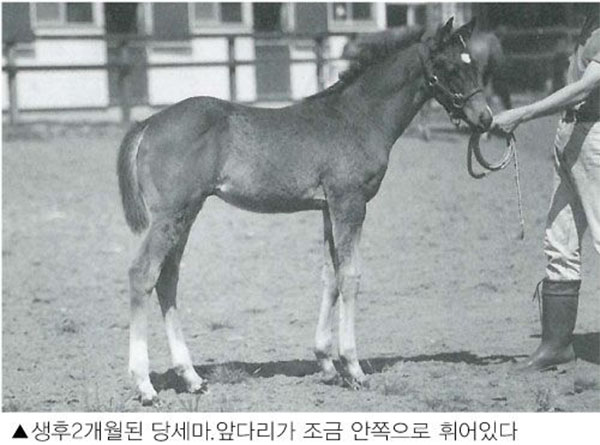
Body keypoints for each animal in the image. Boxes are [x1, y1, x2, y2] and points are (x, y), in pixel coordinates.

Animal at [118, 19, 492, 404]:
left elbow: (330, 276)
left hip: (186, 213)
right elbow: (351, 277)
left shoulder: (328, 208)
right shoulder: (349, 202)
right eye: (449, 67)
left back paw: (191, 377)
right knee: (143, 274)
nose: (485, 119)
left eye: (475, 64)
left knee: (167, 278)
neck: (357, 117)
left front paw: (326, 364)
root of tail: (148, 123)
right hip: (171, 215)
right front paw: (353, 368)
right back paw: (145, 385)